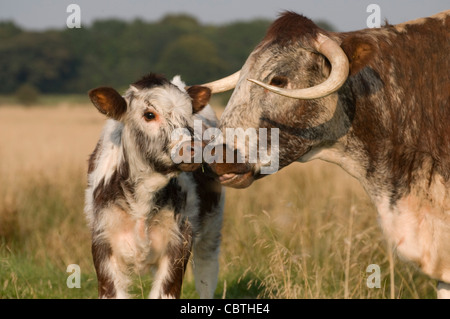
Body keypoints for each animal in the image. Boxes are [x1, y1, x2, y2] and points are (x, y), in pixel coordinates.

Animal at [84, 74, 223, 298]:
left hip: (212, 228)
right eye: (149, 115)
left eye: (189, 115)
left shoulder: (179, 243)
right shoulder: (103, 244)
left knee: (206, 273)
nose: (192, 148)